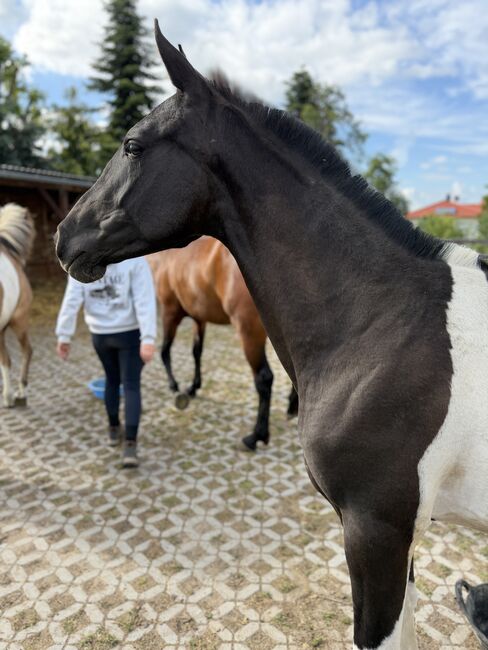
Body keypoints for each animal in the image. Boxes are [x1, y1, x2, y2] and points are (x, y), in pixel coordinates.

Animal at [147, 237, 298, 451]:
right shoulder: (199, 319)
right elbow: (196, 352)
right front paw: (193, 387)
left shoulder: (170, 313)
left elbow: (165, 351)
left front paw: (174, 386)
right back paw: (292, 407)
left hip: (249, 334)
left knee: (264, 379)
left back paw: (256, 436)